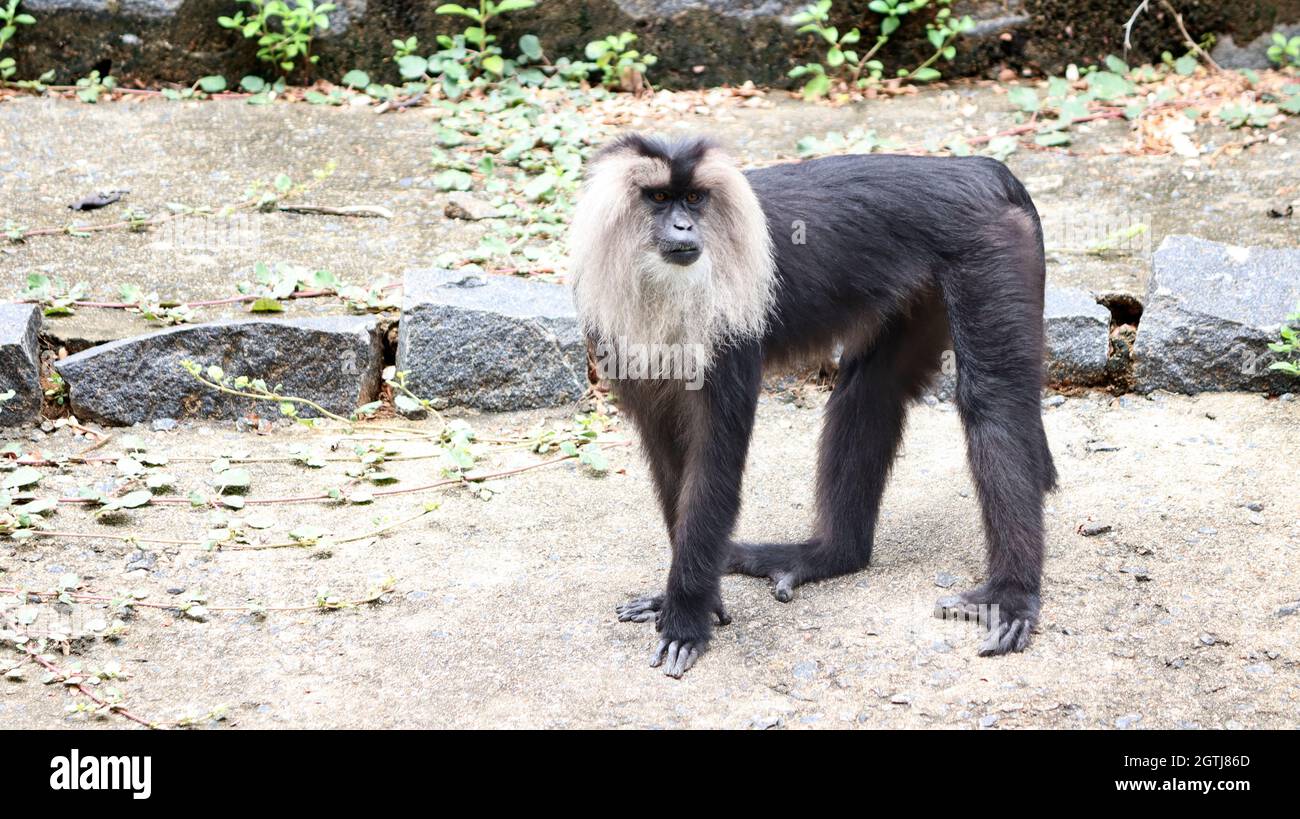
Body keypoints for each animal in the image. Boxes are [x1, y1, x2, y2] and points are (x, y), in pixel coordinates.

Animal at [569, 133, 1056, 678]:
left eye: (693, 199)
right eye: (658, 199)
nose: (682, 227)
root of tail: (983, 171)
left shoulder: (732, 329)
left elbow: (715, 459)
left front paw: (686, 618)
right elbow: (668, 455)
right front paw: (691, 600)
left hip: (990, 248)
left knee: (993, 399)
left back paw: (1012, 594)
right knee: (870, 390)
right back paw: (833, 555)